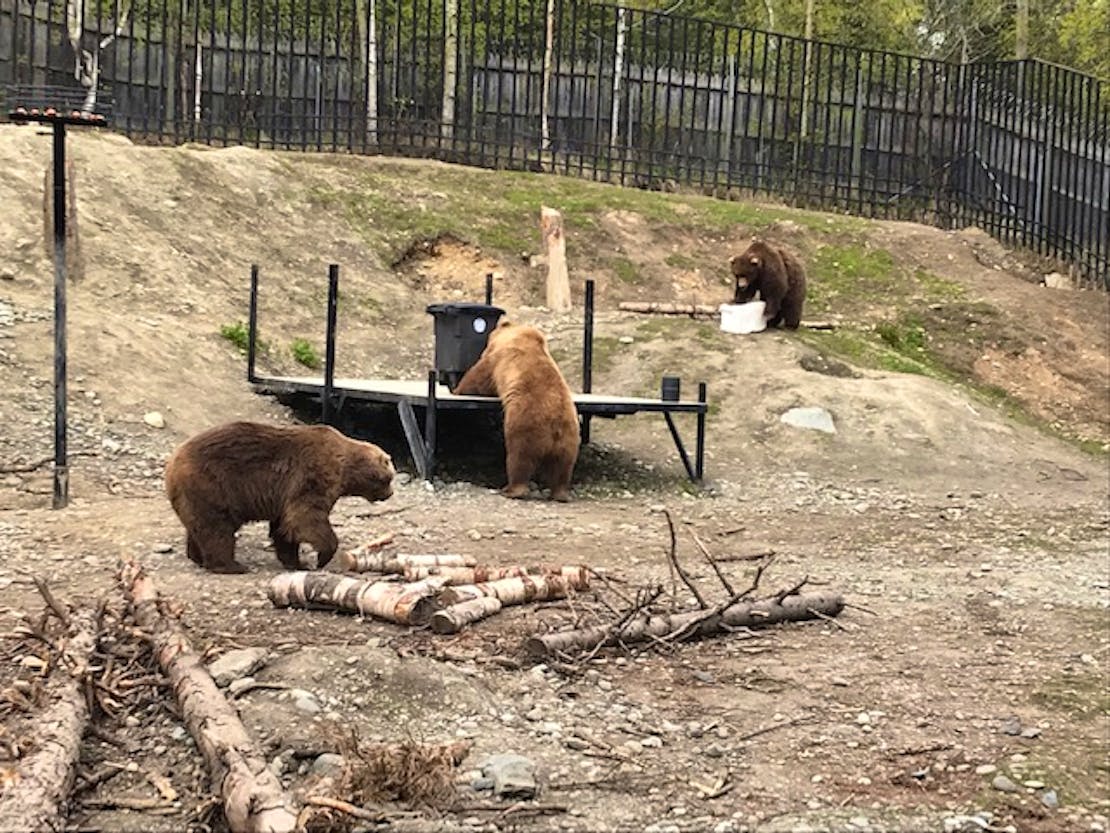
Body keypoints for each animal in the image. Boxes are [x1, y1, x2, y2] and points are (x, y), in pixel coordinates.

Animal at [164, 421, 394, 574]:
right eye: (389, 478)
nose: (390, 494)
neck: (346, 468)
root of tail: (172, 462)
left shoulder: (284, 495)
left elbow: (285, 527)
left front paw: (297, 562)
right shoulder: (314, 474)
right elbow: (305, 516)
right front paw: (320, 558)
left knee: (199, 526)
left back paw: (196, 556)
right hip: (213, 485)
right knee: (217, 529)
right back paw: (231, 565)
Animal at [451, 320, 580, 501]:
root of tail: (555, 424)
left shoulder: (499, 358)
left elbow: (479, 377)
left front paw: (457, 389)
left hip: (525, 425)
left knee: (519, 458)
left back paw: (511, 490)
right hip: (569, 438)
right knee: (562, 467)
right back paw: (560, 493)